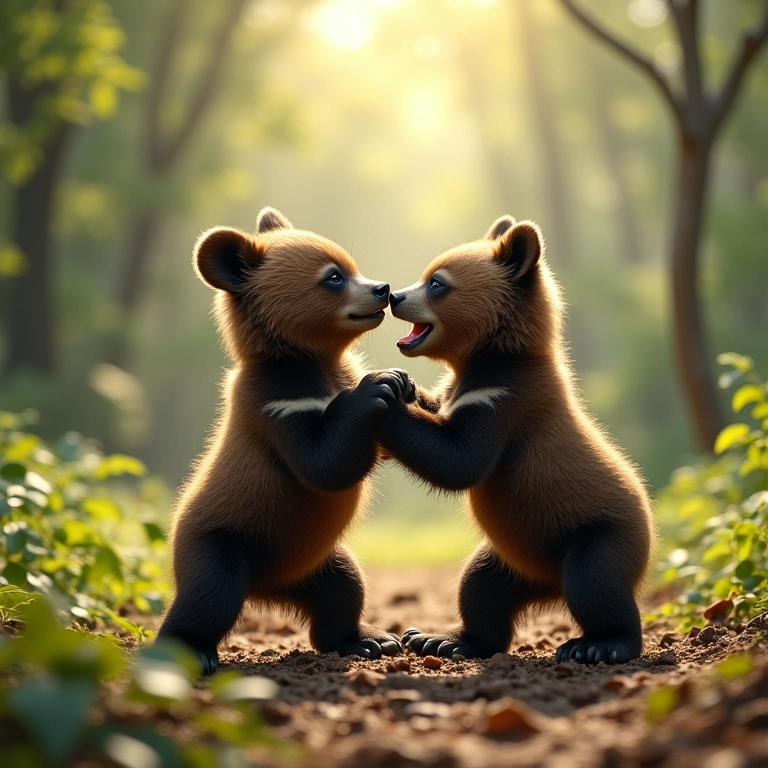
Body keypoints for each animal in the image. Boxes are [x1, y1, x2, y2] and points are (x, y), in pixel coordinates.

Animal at [157, 207, 411, 673]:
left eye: (351, 267)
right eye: (333, 277)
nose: (383, 289)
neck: (309, 360)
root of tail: (265, 587)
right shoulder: (276, 404)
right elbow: (322, 463)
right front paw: (380, 383)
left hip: (316, 560)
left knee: (344, 588)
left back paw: (369, 640)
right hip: (220, 541)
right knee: (209, 594)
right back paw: (191, 651)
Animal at [377, 216, 655, 664]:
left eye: (437, 282)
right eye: (426, 274)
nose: (394, 296)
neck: (494, 355)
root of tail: (550, 583)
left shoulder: (505, 400)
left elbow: (459, 459)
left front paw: (385, 398)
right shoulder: (465, 391)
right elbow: (440, 412)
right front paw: (404, 385)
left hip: (600, 534)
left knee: (596, 584)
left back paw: (598, 644)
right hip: (512, 556)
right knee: (480, 587)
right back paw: (442, 639)